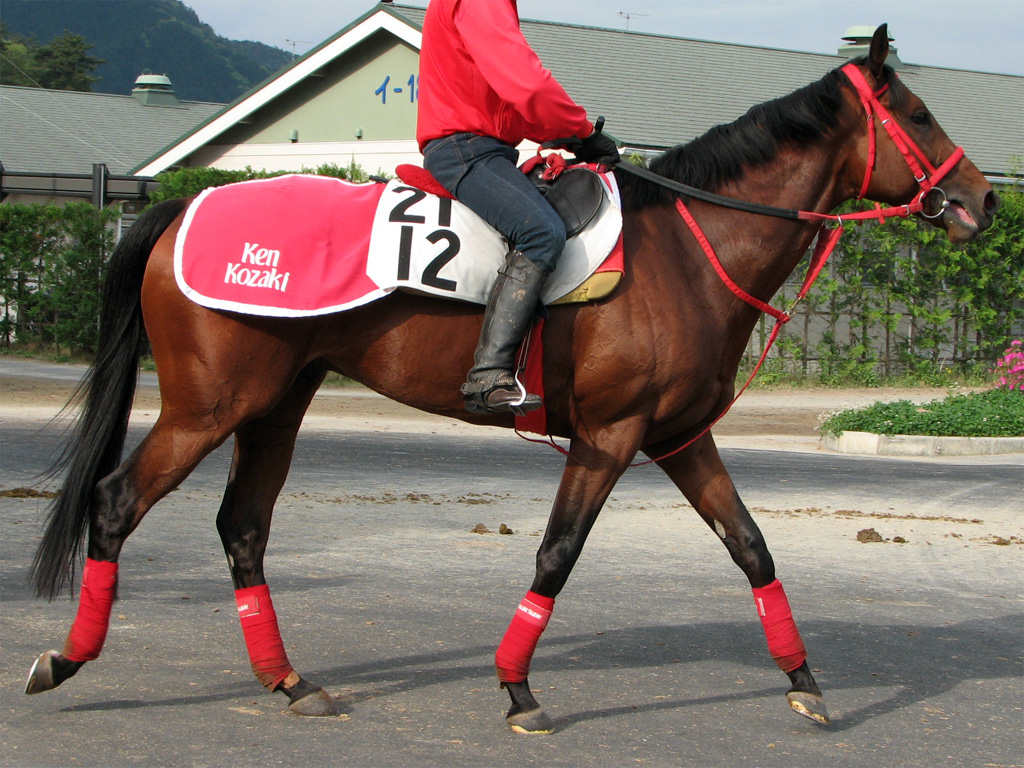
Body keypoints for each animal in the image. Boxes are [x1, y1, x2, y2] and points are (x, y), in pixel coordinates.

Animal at [25, 30, 999, 733]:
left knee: (243, 528)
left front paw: (803, 678)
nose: (984, 201)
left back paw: (289, 681)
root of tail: (183, 204)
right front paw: (517, 686)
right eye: (917, 112)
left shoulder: (680, 438)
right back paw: (66, 659)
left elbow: (752, 547)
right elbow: (558, 553)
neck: (686, 249)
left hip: (276, 404)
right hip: (209, 406)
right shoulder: (609, 437)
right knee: (117, 503)